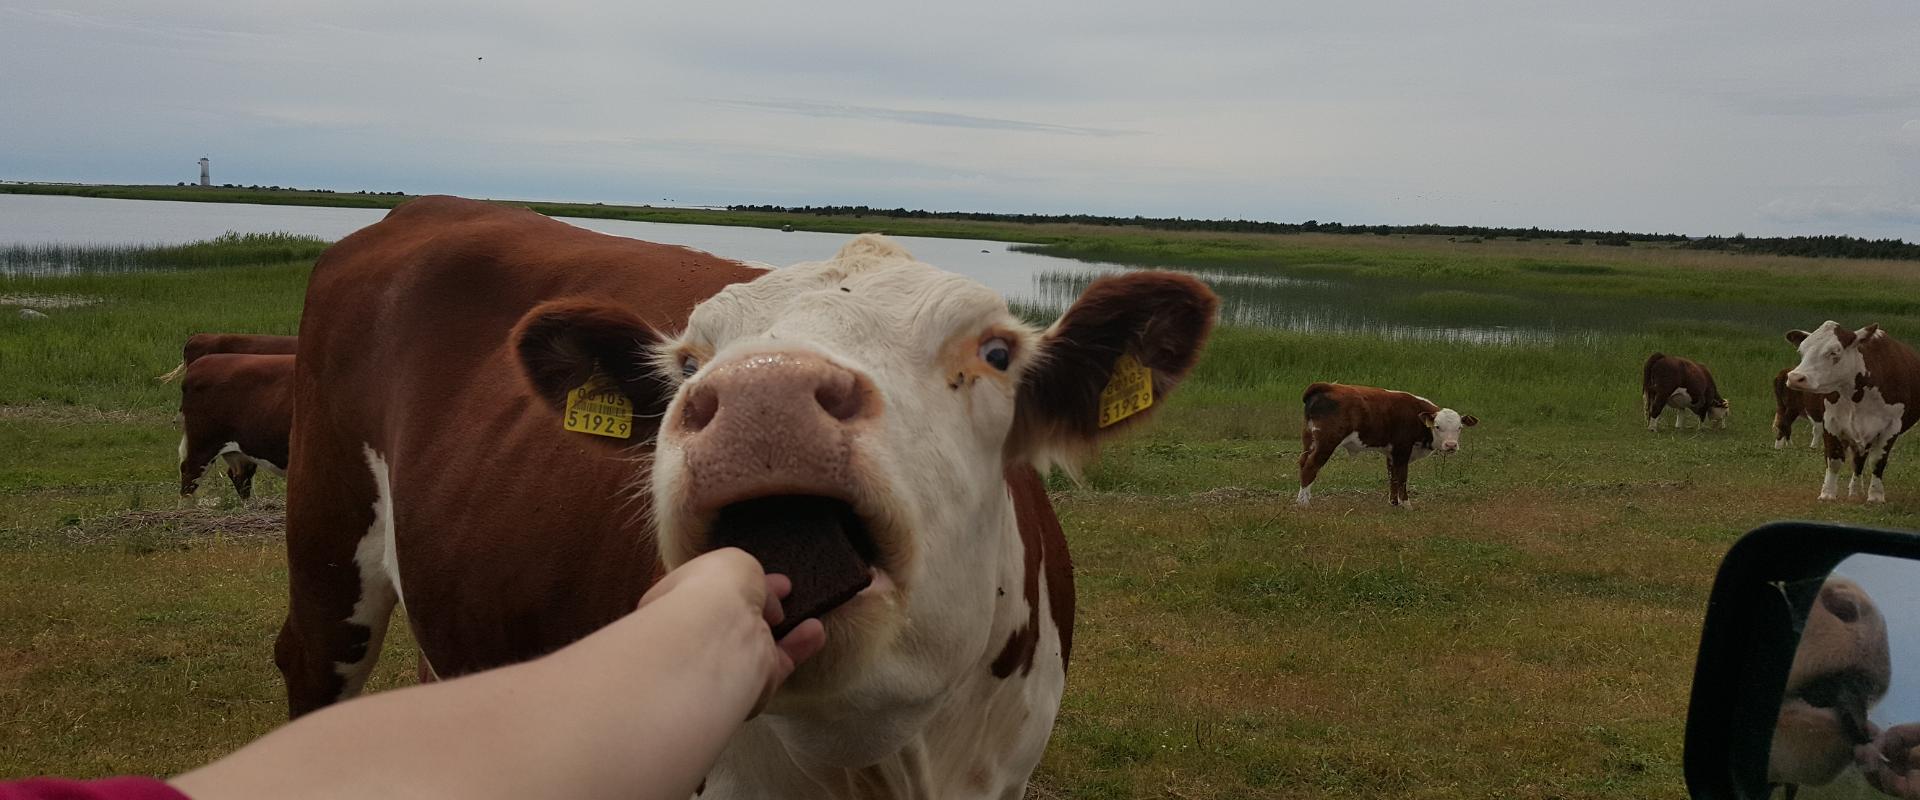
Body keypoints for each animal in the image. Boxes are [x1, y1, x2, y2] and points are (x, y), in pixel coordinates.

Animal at [1297, 379, 1474, 506]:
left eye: (1459, 427)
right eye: (1437, 426)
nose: (1451, 445)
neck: (1415, 415)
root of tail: (1326, 386)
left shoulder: (1391, 453)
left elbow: (1392, 477)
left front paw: (1394, 502)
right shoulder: (1402, 450)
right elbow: (1402, 477)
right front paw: (1406, 504)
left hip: (1309, 440)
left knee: (1303, 462)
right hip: (1326, 442)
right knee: (1311, 466)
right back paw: (1303, 503)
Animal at [1781, 320, 1920, 498]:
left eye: (1834, 352)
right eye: (1801, 351)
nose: (1795, 378)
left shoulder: (1892, 427)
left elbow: (1877, 462)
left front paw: (1876, 495)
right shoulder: (1830, 422)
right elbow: (1834, 459)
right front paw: (1827, 493)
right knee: (1858, 460)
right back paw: (1854, 491)